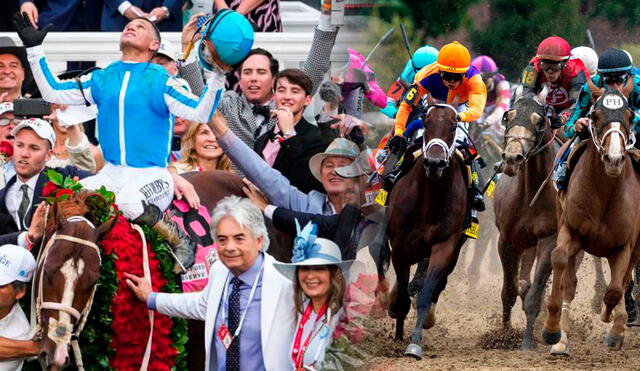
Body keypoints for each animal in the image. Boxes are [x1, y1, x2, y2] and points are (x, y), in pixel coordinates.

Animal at [388, 103, 468, 358]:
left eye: (453, 126)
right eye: (426, 123)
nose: (434, 163)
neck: (431, 200)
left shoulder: (444, 247)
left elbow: (425, 293)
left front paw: (415, 343)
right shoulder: (400, 247)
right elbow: (402, 297)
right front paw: (398, 336)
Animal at [544, 90, 640, 354]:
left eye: (630, 116)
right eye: (595, 116)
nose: (614, 159)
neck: (605, 192)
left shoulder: (625, 245)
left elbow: (615, 289)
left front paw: (613, 324)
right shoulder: (571, 232)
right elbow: (559, 260)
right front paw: (552, 329)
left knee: (622, 281)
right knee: (570, 282)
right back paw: (562, 340)